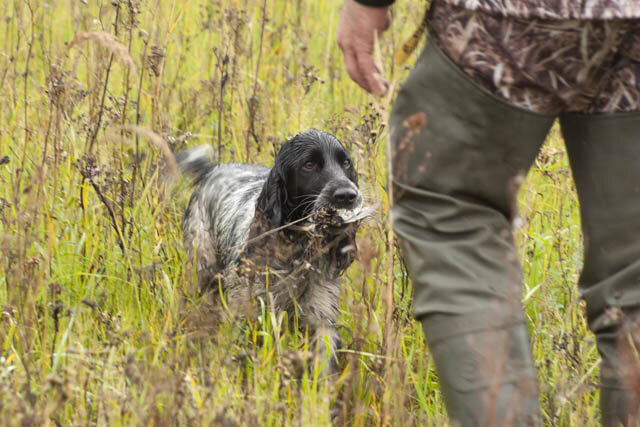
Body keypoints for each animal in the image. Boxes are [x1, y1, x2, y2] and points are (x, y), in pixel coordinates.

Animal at [178, 129, 372, 372]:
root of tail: (213, 170)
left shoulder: (321, 316)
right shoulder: (247, 311)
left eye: (346, 163)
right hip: (204, 272)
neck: (298, 250)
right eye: (309, 165)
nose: (347, 195)